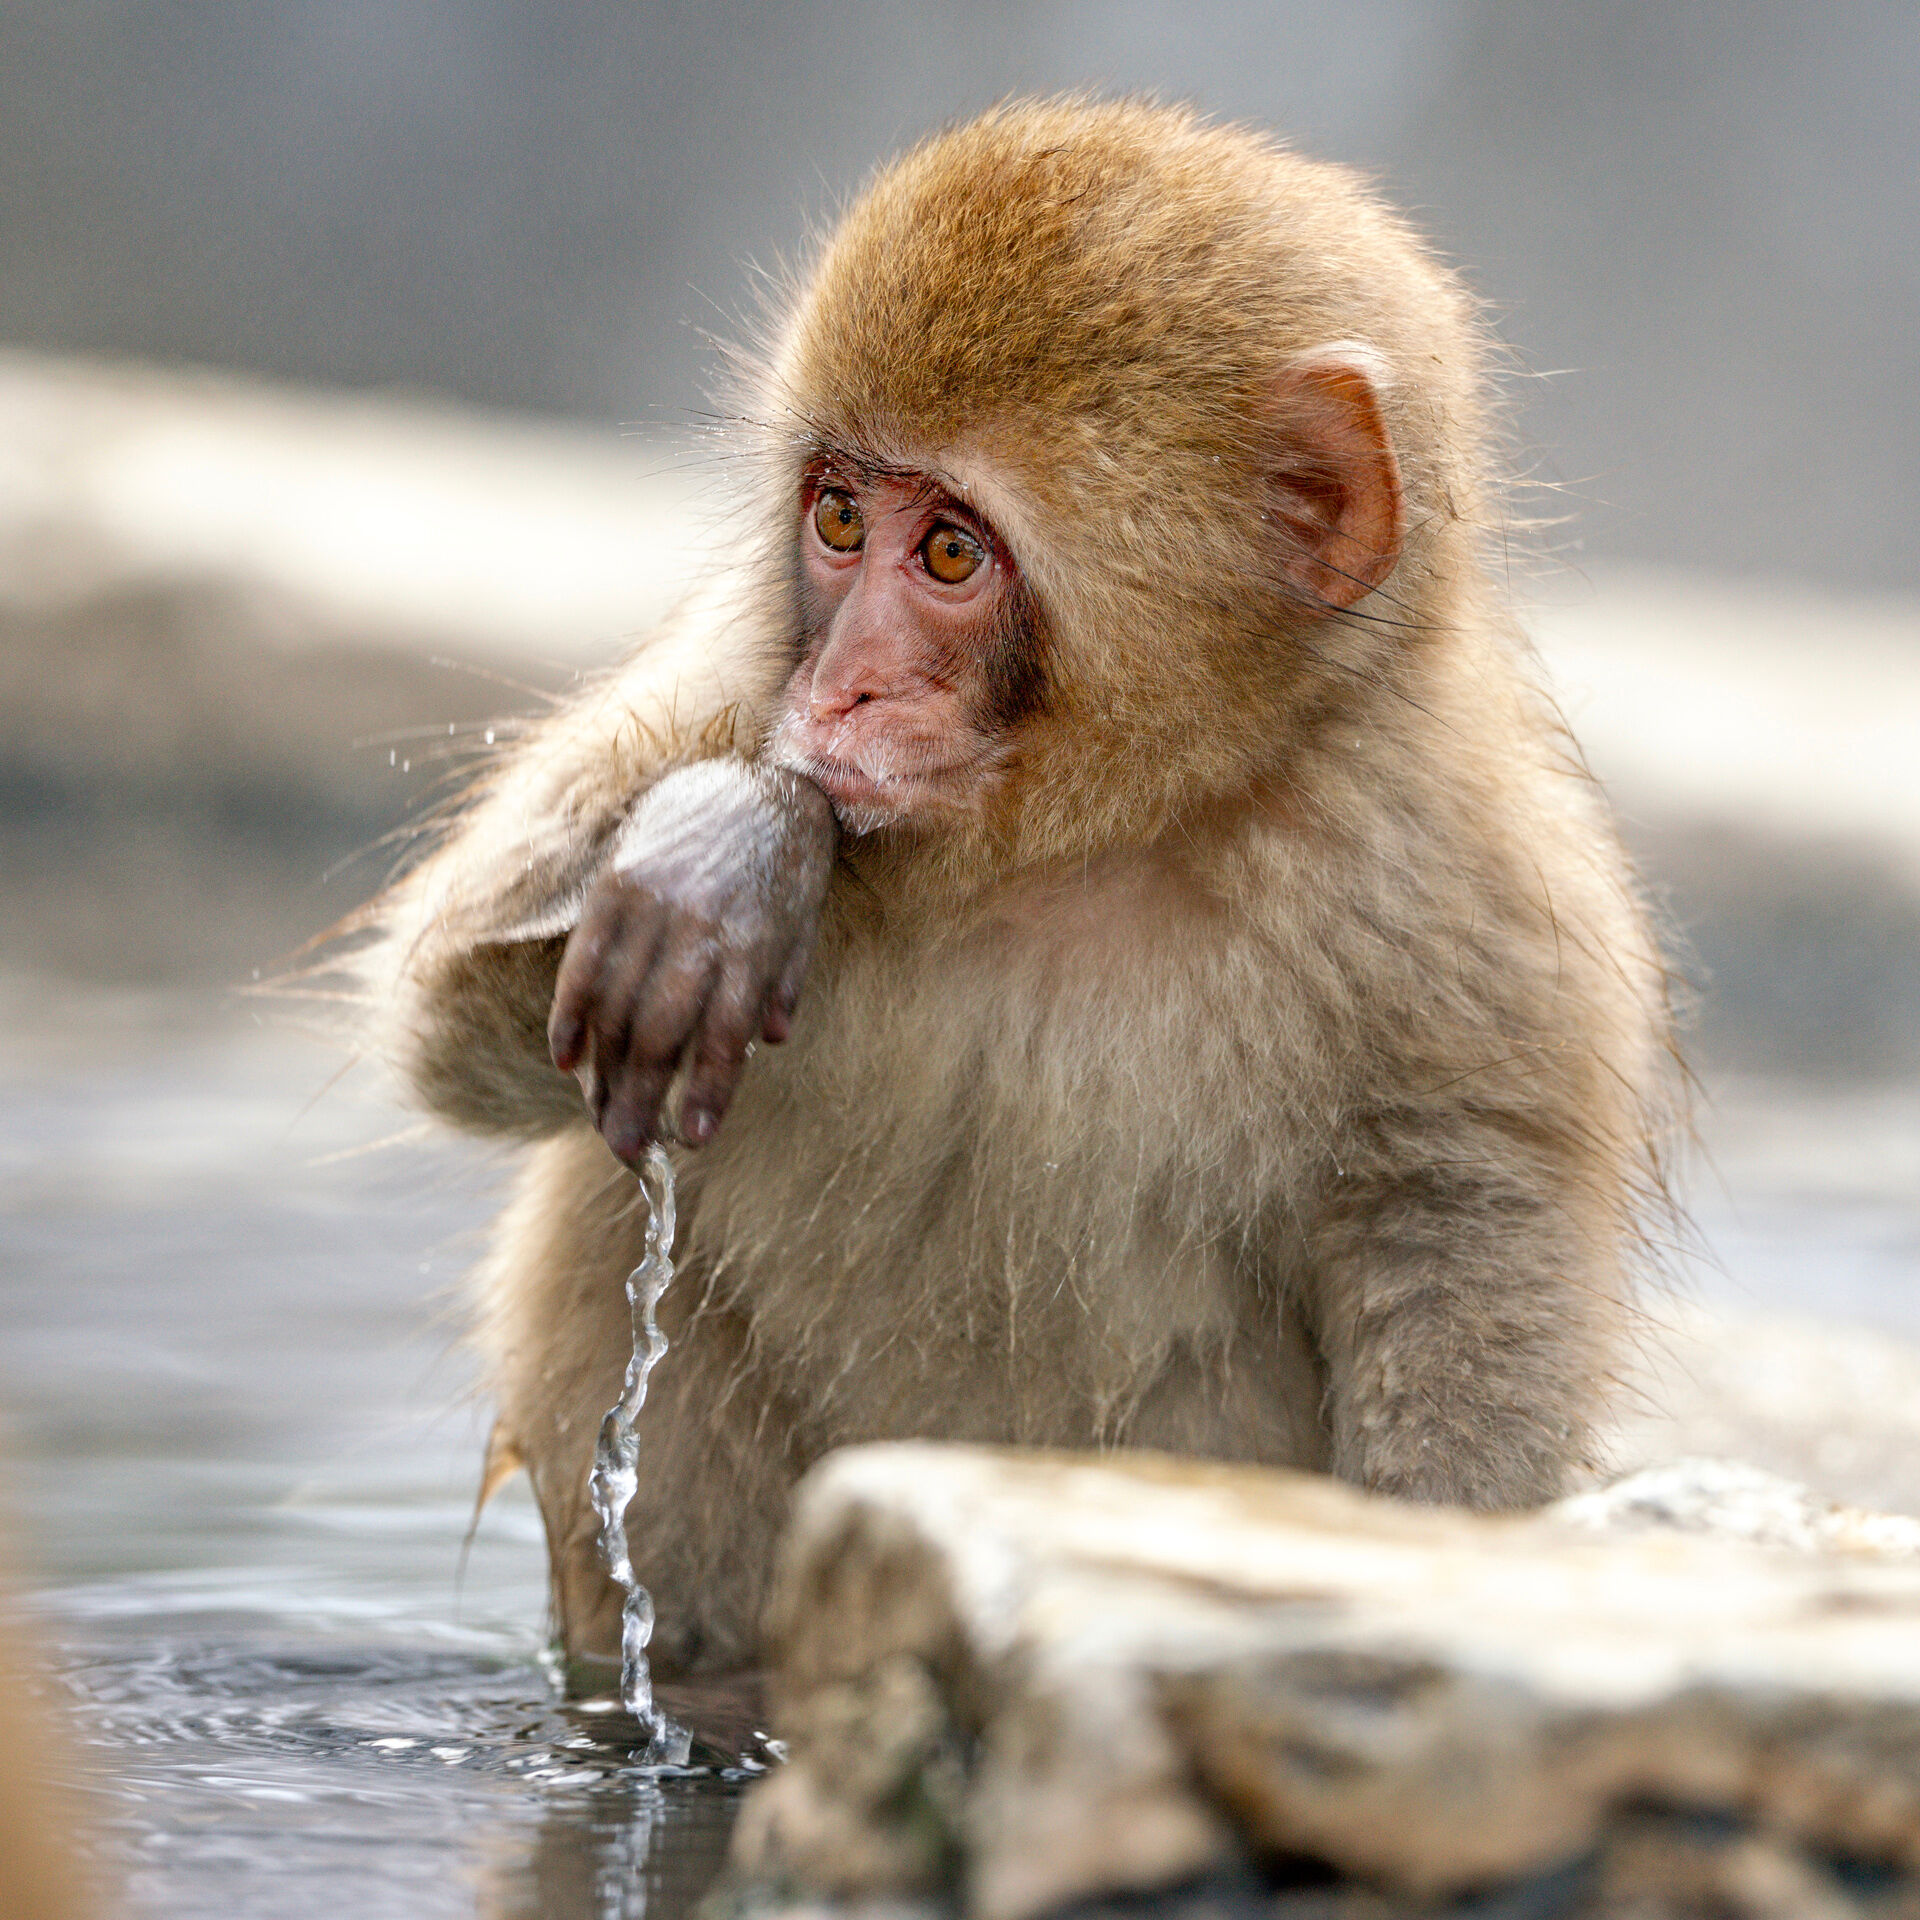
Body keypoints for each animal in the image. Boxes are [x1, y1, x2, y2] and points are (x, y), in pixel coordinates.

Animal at [353, 98, 1677, 1683]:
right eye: (840, 521)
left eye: (948, 551)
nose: (843, 686)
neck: (1088, 839)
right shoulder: (733, 676)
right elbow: (447, 1017)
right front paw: (732, 854)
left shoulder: (1465, 861)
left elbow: (1461, 1226)